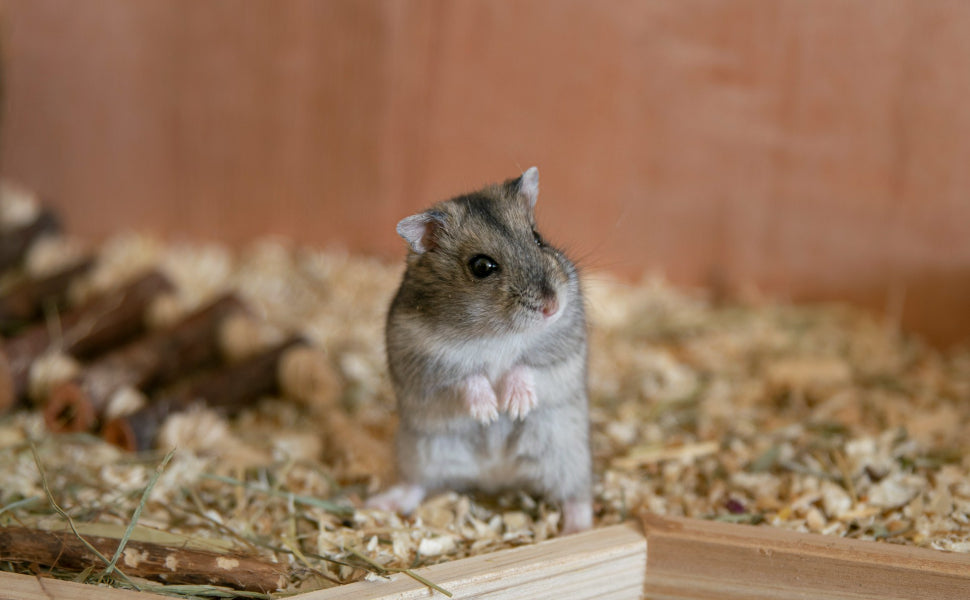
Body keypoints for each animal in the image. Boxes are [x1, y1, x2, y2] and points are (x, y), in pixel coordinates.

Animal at [366, 167, 593, 534]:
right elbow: (467, 377)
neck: (497, 332)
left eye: (538, 237)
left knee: (577, 496)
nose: (552, 307)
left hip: (567, 454)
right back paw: (377, 504)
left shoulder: (562, 346)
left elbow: (526, 366)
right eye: (482, 266)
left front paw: (515, 406)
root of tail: (495, 476)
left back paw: (577, 530)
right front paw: (489, 412)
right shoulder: (426, 361)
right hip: (421, 452)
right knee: (416, 485)